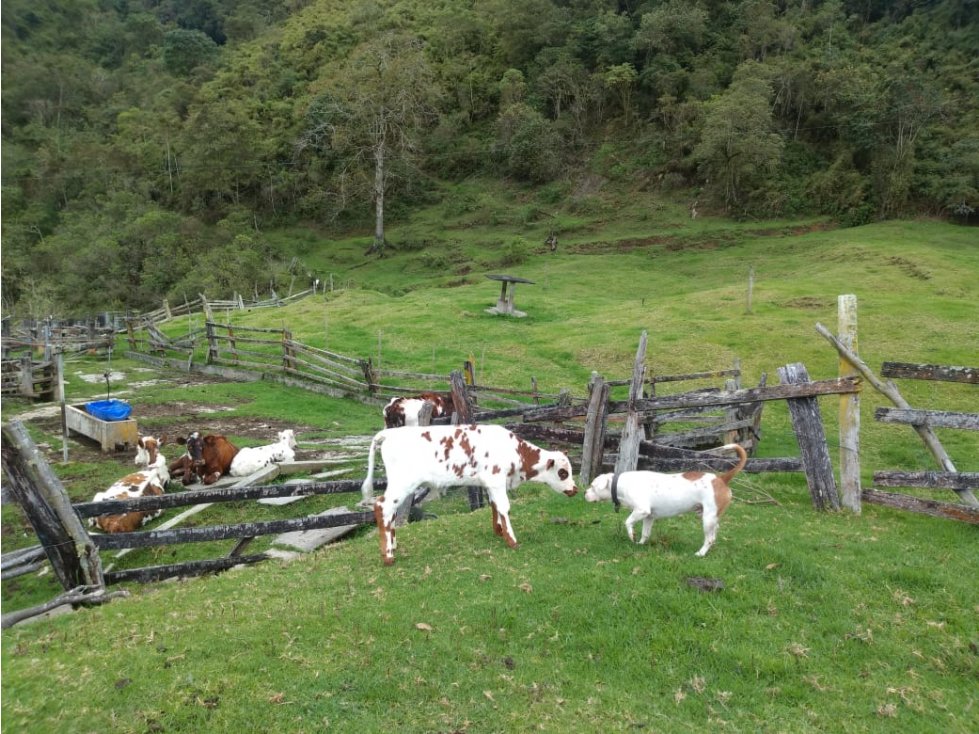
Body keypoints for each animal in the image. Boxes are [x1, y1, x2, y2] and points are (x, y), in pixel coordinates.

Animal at [362, 422, 580, 568]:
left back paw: (394, 545)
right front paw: (512, 540)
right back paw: (388, 556)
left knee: (390, 512)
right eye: (563, 473)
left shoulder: (491, 483)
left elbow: (494, 506)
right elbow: (504, 507)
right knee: (382, 506)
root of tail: (388, 433)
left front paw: (499, 531)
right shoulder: (496, 479)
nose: (575, 489)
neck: (514, 451)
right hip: (402, 483)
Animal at [580, 442, 752, 556]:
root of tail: (721, 479)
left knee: (709, 538)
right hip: (709, 517)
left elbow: (627, 522)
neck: (620, 483)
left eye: (593, 486)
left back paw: (701, 553)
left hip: (707, 519)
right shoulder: (648, 517)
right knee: (714, 535)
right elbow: (645, 533)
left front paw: (631, 536)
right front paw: (640, 544)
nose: (584, 493)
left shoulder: (641, 510)